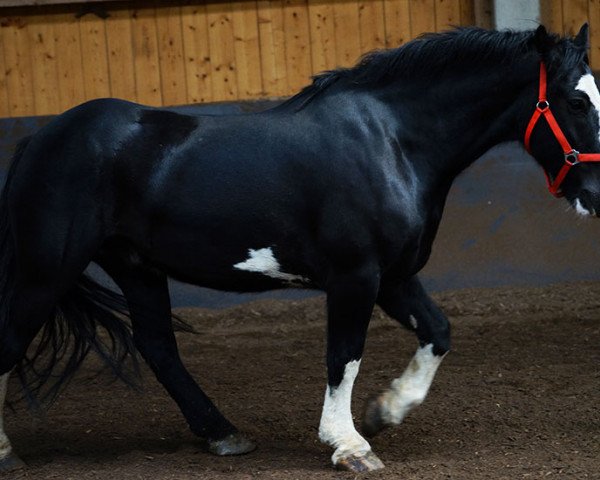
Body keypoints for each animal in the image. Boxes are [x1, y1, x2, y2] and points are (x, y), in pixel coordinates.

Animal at [1, 22, 600, 472]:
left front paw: (386, 411)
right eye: (575, 101)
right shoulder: (355, 276)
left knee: (157, 345)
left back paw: (222, 433)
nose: (595, 194)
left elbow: (438, 332)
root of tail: (39, 139)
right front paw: (349, 444)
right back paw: (8, 451)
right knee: (13, 339)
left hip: (136, 267)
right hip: (44, 269)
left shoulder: (394, 275)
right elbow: (344, 355)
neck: (392, 142)